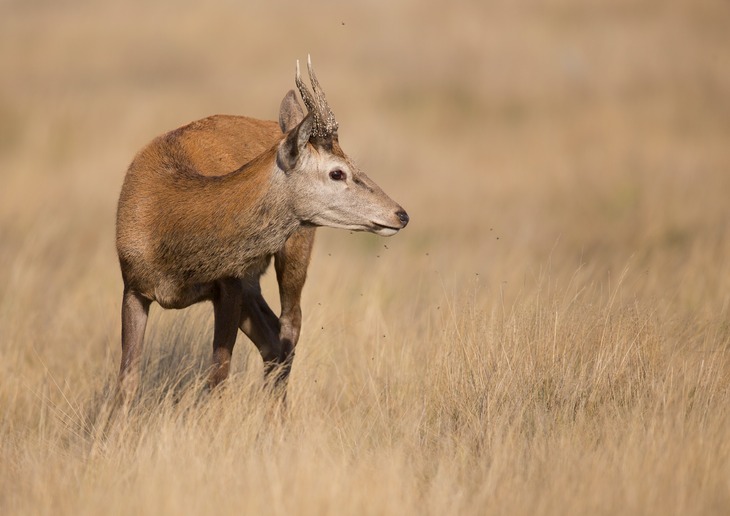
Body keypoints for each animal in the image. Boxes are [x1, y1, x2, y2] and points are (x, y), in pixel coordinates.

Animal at [116, 57, 406, 396]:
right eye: (338, 172)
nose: (400, 214)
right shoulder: (133, 285)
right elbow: (127, 380)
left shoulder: (229, 283)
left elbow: (218, 375)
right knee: (272, 341)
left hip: (295, 248)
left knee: (289, 328)